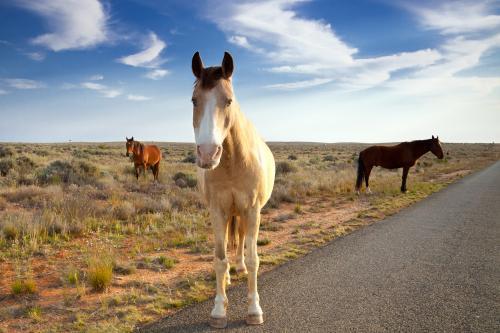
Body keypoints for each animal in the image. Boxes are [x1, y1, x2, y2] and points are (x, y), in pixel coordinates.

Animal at [192, 52, 278, 326]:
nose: (208, 154)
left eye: (228, 101)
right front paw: (219, 309)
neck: (232, 162)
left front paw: (254, 309)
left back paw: (238, 265)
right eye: (194, 100)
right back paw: (230, 274)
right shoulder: (217, 211)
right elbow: (219, 259)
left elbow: (253, 259)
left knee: (240, 239)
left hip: (242, 212)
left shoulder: (252, 210)